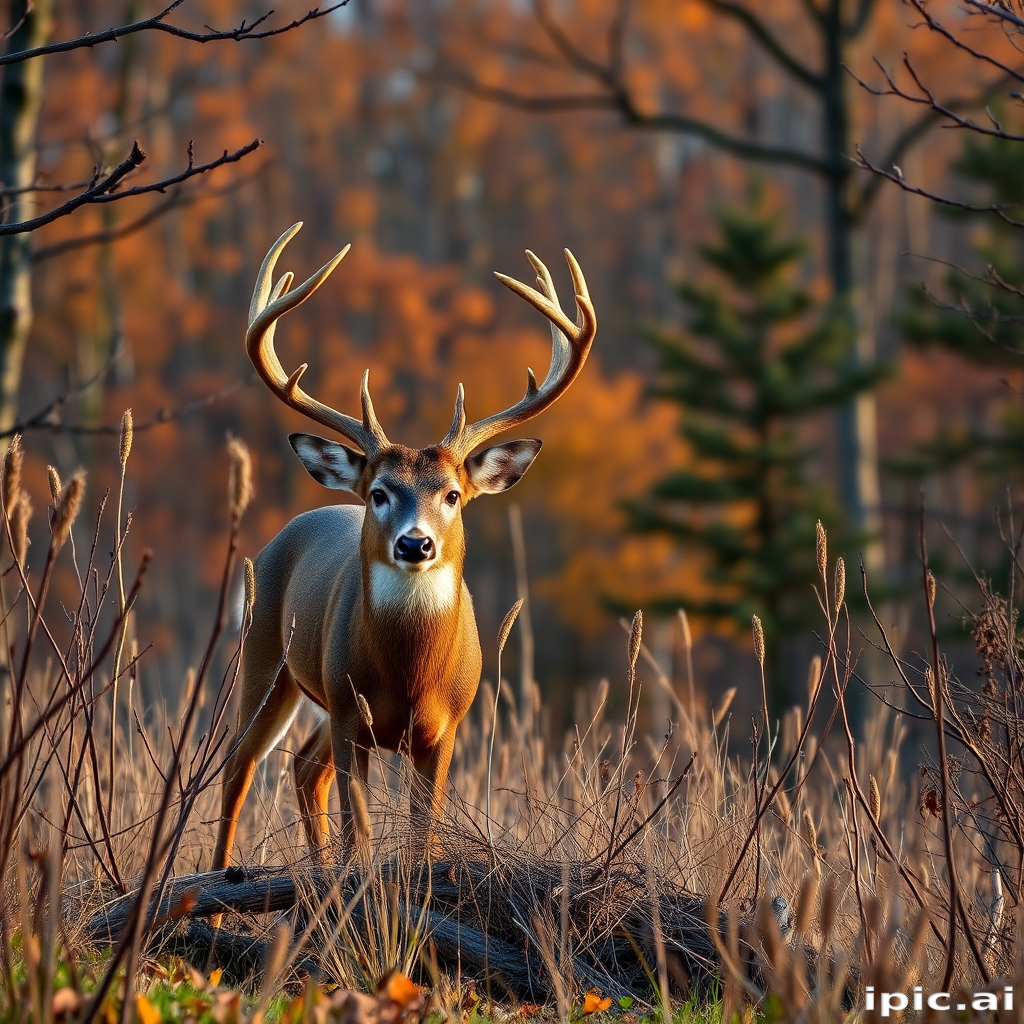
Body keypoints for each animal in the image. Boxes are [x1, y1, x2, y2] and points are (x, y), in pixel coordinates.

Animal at [212, 223, 596, 875]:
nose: (415, 543)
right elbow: (360, 835)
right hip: (265, 655)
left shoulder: (444, 730)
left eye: (452, 495)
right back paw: (214, 886)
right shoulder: (349, 711)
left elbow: (425, 837)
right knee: (239, 767)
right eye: (380, 492)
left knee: (303, 767)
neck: (410, 675)